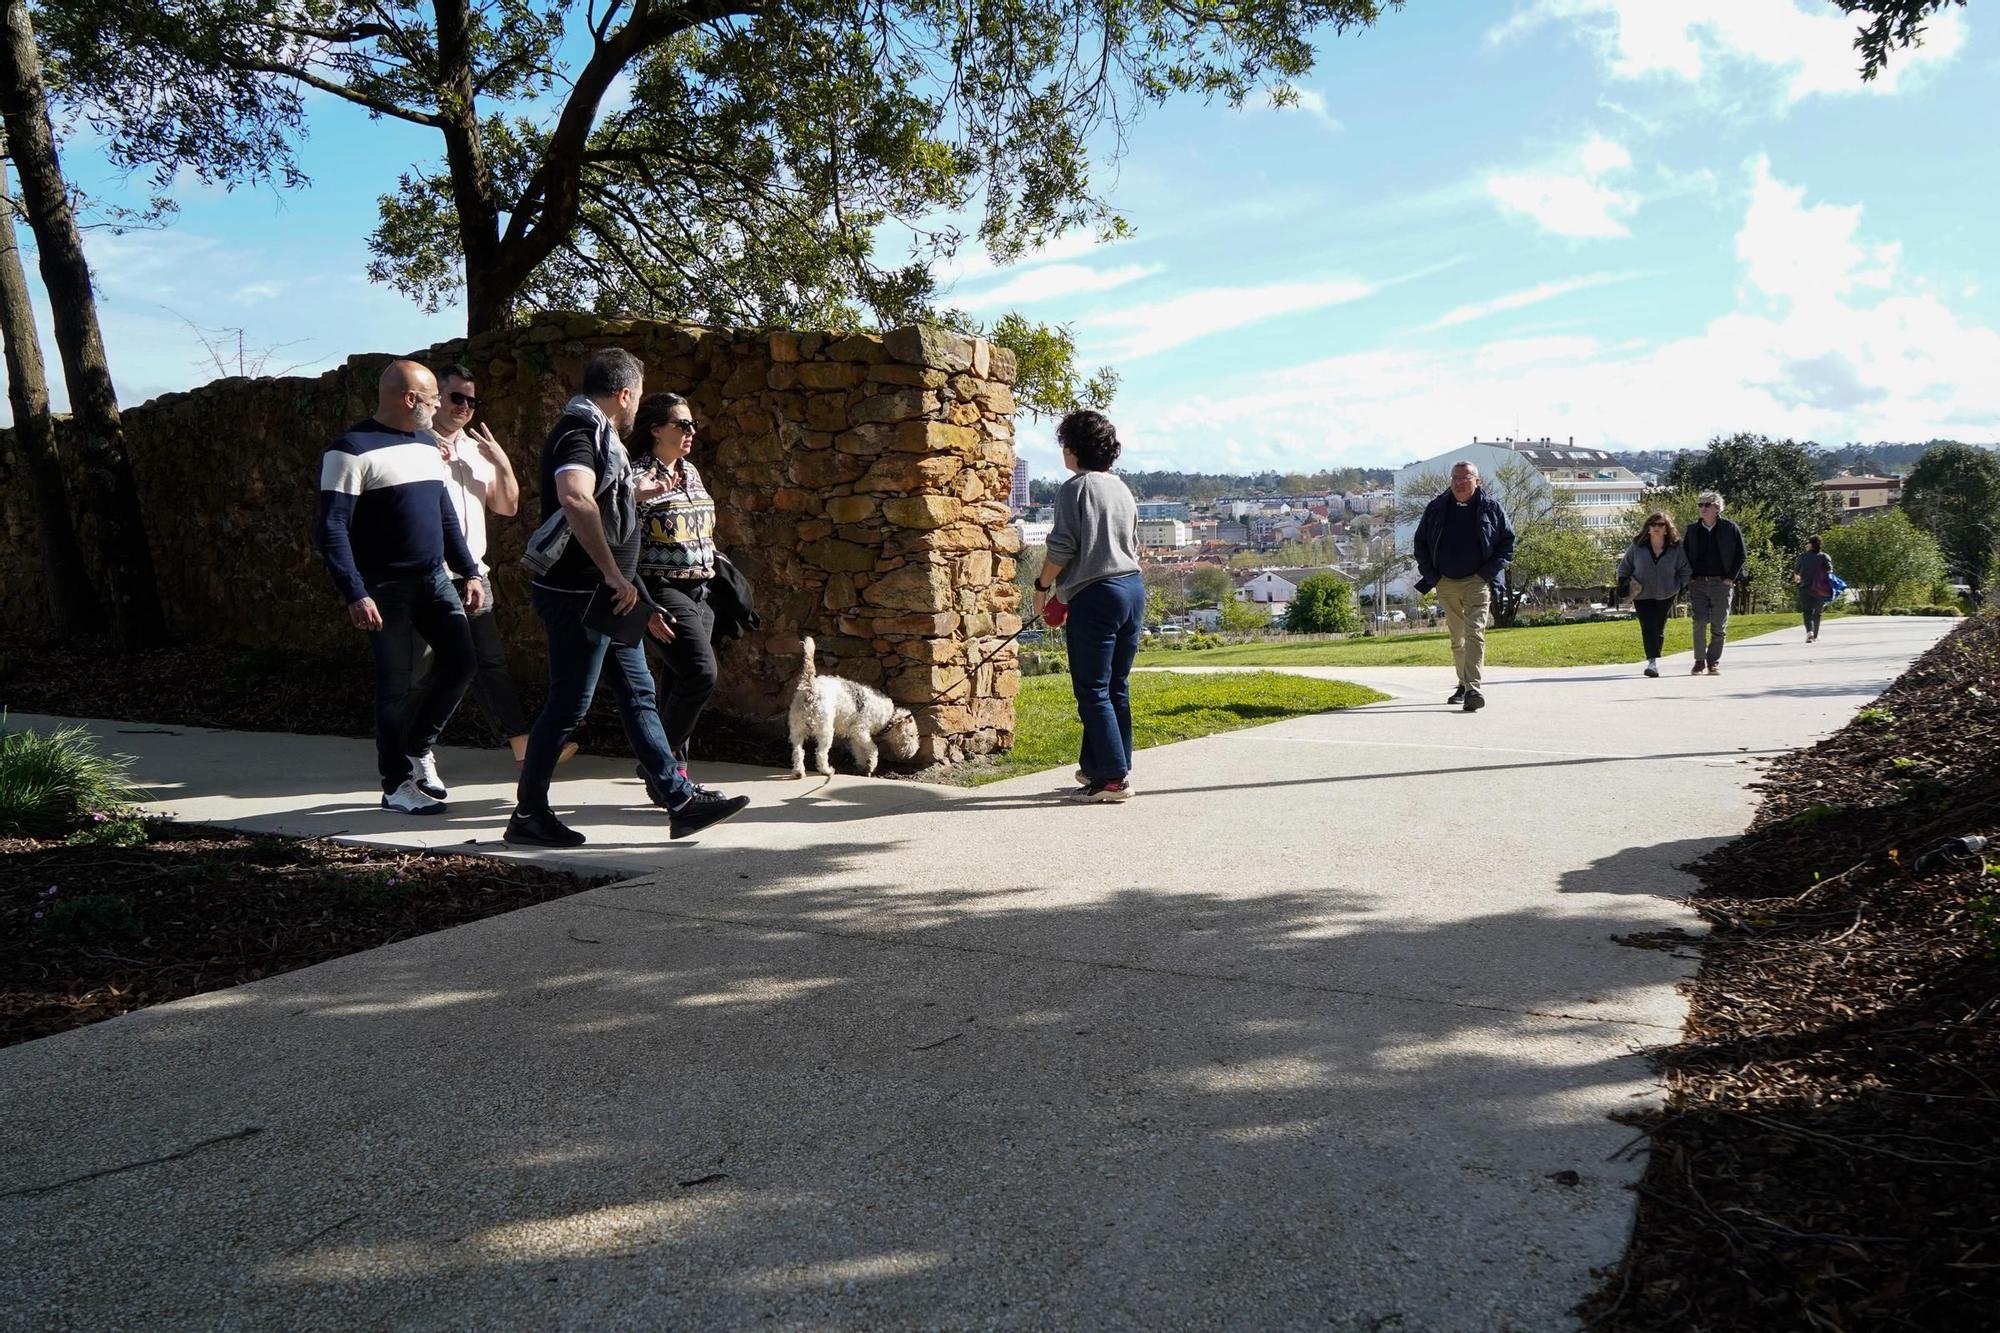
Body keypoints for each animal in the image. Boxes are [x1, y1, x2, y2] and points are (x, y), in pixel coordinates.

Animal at [792, 636, 924, 780]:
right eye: (911, 735)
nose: (912, 754)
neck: (888, 717)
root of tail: (810, 687)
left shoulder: (855, 735)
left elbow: (858, 751)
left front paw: (862, 766)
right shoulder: (860, 730)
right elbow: (873, 749)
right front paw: (871, 766)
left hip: (797, 729)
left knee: (798, 751)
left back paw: (799, 772)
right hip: (824, 730)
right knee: (821, 753)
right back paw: (827, 771)